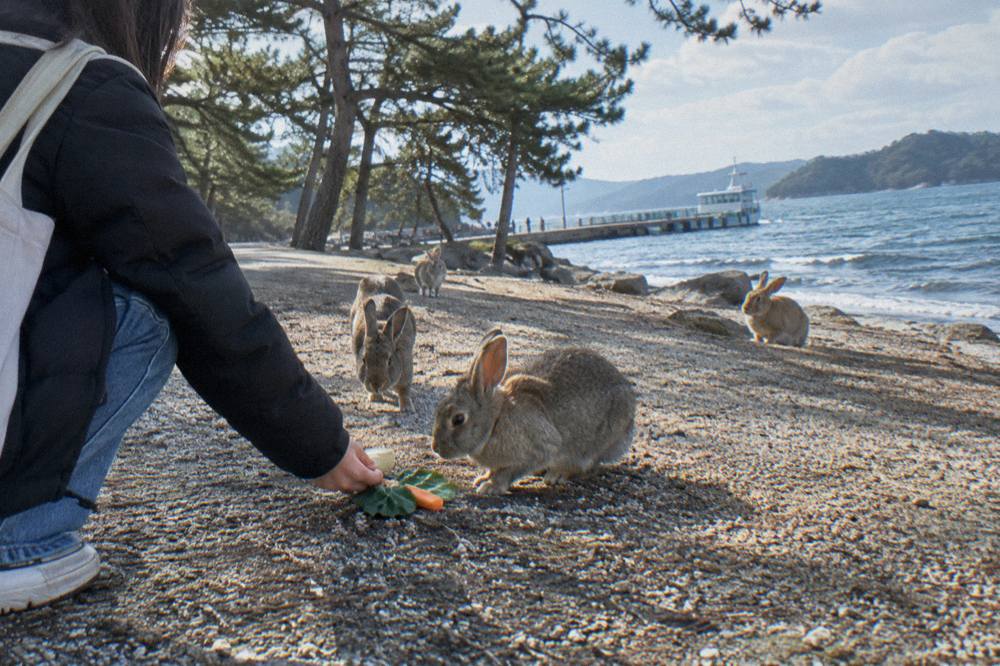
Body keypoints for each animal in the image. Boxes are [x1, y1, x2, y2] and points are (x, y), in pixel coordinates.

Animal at [350, 276, 416, 411]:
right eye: (364, 360)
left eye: (389, 360)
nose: (376, 385)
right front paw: (375, 398)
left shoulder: (406, 366)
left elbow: (404, 389)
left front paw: (407, 408)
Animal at [431, 328, 636, 494]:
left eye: (458, 419)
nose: (436, 448)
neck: (495, 421)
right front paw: (483, 478)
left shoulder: (539, 449)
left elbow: (508, 471)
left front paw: (491, 486)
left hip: (597, 442)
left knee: (587, 466)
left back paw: (556, 475)